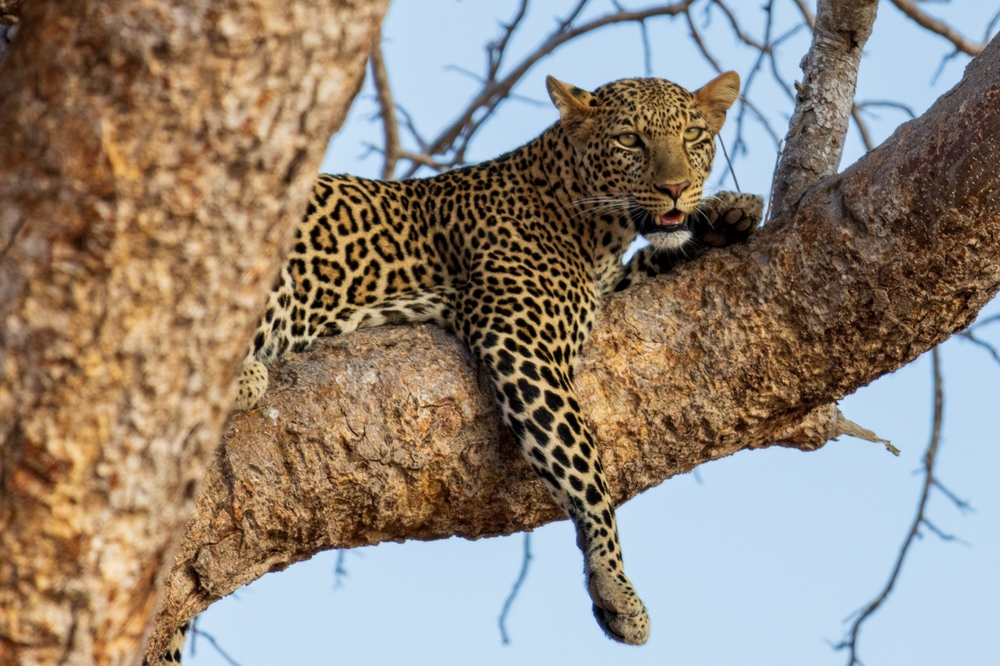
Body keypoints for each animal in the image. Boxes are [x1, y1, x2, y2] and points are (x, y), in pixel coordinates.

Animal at [155, 71, 763, 664]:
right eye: (630, 140)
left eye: (693, 137)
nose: (676, 188)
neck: (591, 228)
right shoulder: (521, 340)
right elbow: (585, 469)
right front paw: (616, 590)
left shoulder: (599, 292)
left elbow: (656, 256)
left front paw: (730, 214)